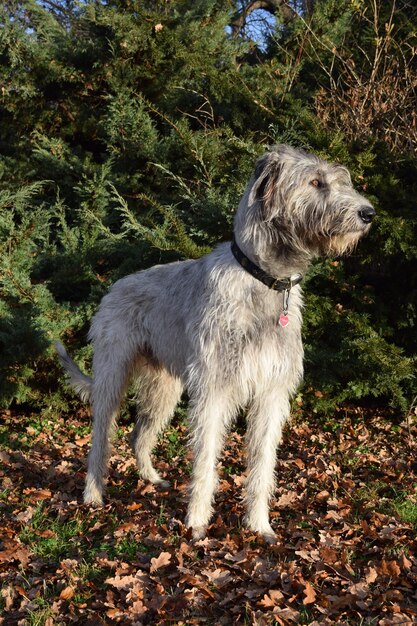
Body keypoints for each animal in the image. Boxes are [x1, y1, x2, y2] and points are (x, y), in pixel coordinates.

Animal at [56, 145, 374, 540]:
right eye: (316, 182)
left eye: (340, 179)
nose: (369, 213)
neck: (264, 280)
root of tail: (114, 286)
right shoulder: (214, 389)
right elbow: (205, 458)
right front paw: (196, 522)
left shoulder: (271, 394)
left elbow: (263, 464)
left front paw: (259, 524)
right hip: (113, 375)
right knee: (101, 435)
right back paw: (93, 494)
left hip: (165, 387)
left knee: (139, 434)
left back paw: (151, 477)